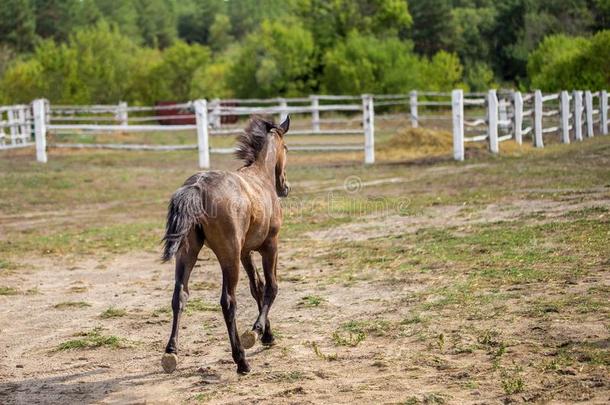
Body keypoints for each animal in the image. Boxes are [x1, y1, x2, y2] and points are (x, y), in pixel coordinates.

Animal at [159, 113, 288, 372]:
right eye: (287, 148)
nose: (285, 187)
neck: (261, 176)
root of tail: (196, 187)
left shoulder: (245, 252)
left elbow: (257, 288)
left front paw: (267, 334)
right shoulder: (270, 245)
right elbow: (271, 287)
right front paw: (256, 332)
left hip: (187, 252)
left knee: (180, 296)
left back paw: (170, 354)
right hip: (228, 256)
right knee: (228, 301)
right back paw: (241, 360)